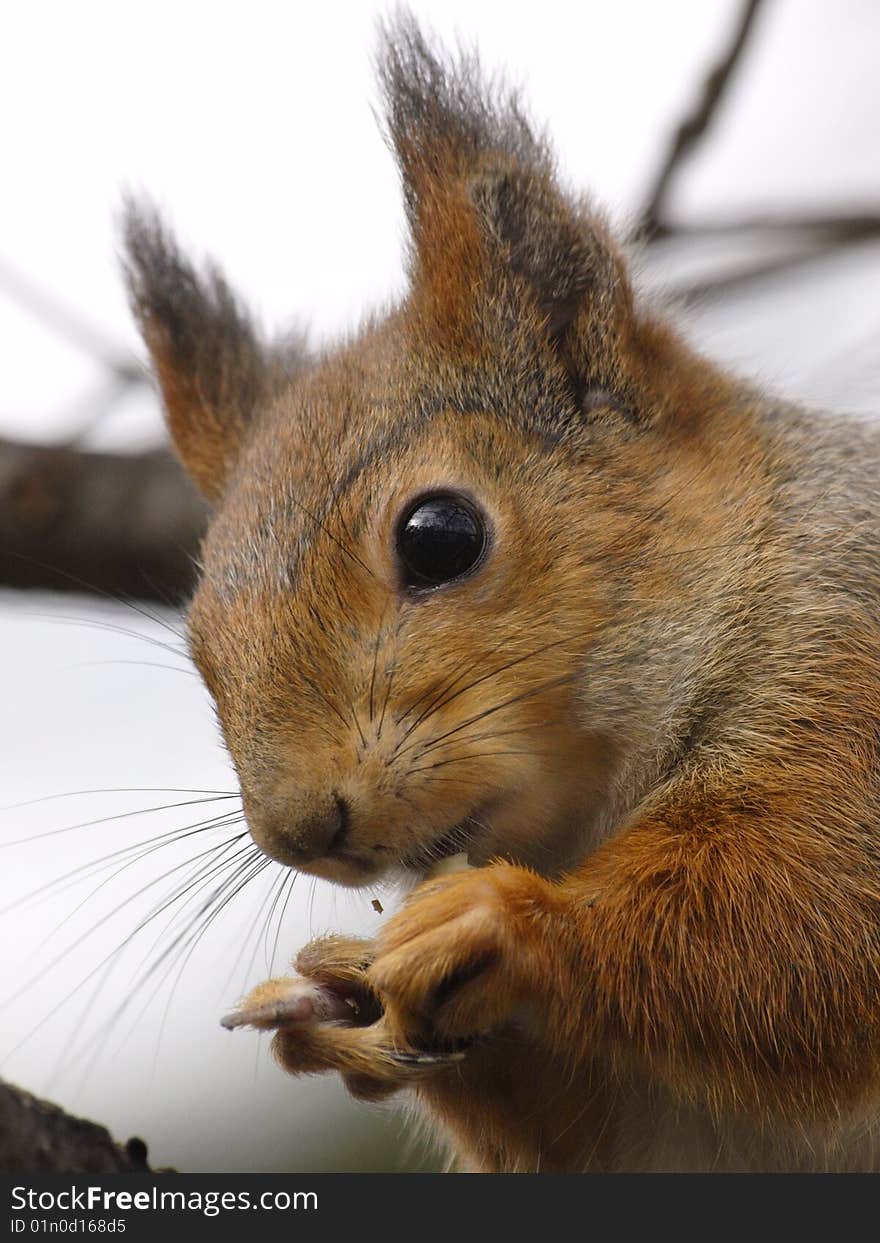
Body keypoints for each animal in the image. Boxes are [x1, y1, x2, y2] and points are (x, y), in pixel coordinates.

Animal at [120, 14, 879, 1168]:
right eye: (200, 641)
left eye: (440, 537)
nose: (302, 830)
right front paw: (343, 1012)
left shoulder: (848, 678)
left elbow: (813, 922)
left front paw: (507, 921)